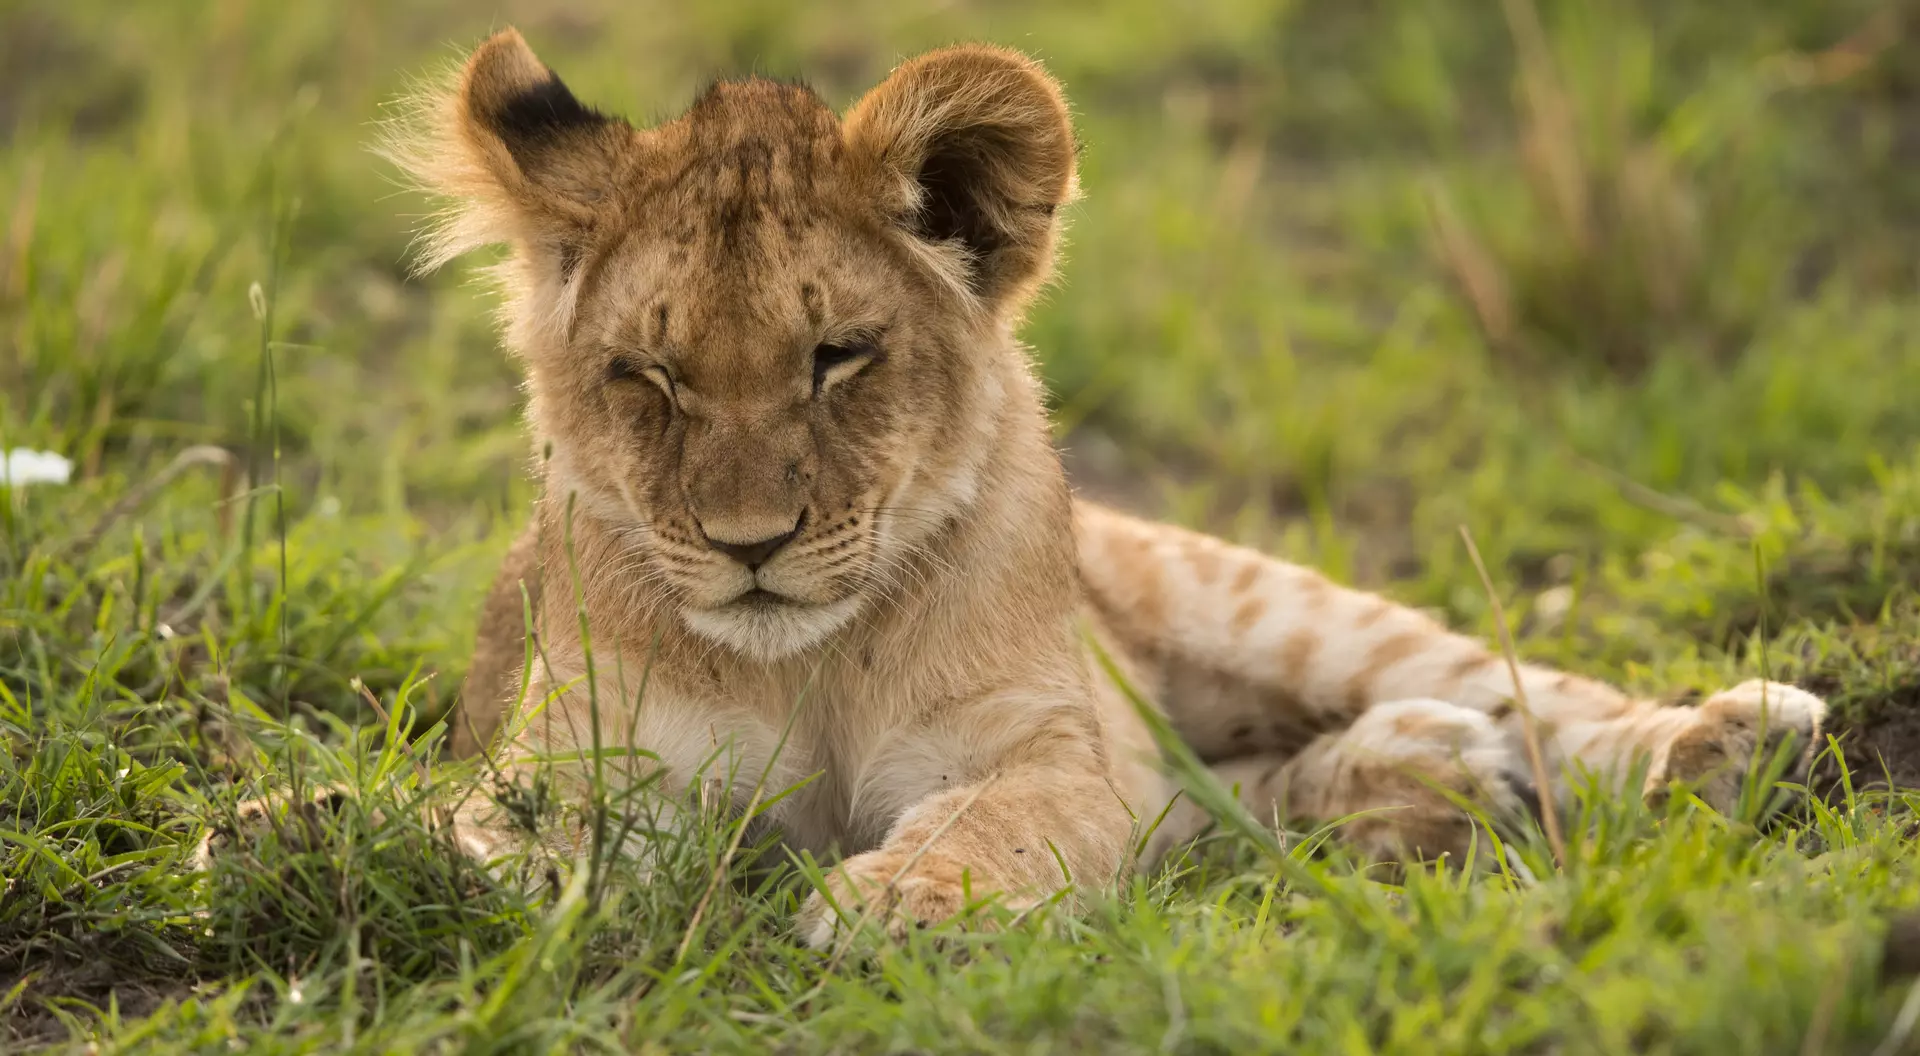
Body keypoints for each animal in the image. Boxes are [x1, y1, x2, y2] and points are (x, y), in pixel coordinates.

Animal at [389, 28, 1826, 945]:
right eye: (648, 375)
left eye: (838, 356)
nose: (751, 546)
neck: (807, 663)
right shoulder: (588, 759)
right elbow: (494, 831)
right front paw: (408, 851)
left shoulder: (1043, 746)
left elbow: (1004, 818)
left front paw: (902, 902)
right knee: (1233, 801)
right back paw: (1422, 779)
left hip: (1259, 604)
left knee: (1523, 689)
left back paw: (1725, 739)